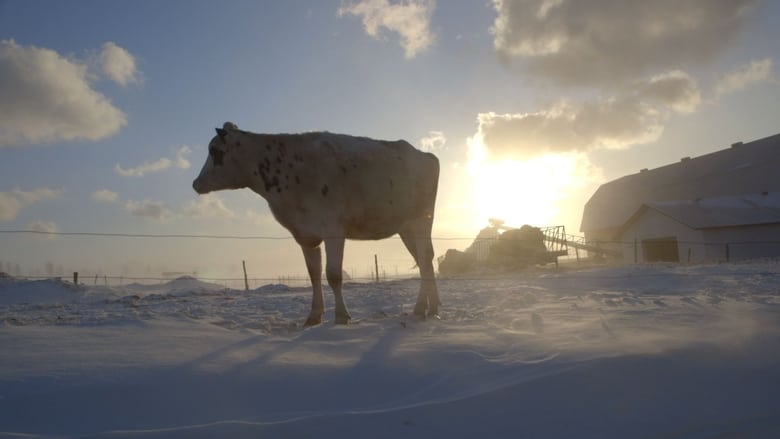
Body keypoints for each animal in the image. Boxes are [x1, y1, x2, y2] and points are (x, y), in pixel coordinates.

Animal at [193, 121, 442, 326]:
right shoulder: (305, 234)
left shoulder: (333, 229)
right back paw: (432, 307)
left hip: (421, 219)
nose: (196, 183)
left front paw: (341, 316)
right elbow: (314, 275)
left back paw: (422, 306)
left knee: (423, 258)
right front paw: (313, 316)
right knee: (426, 260)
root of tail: (424, 154)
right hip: (405, 227)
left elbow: (333, 274)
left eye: (214, 150)